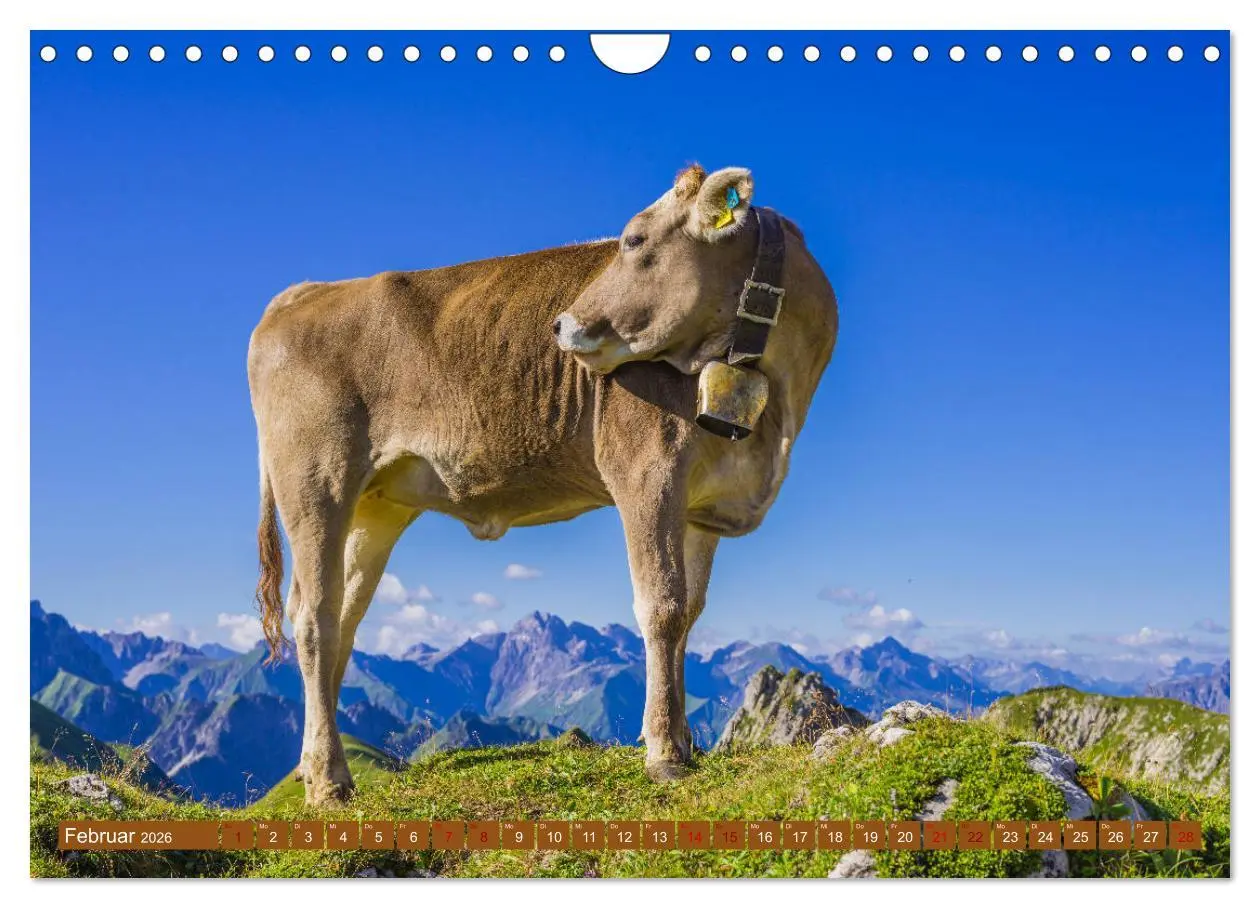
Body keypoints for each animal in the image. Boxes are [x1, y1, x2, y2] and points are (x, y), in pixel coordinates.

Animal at [247, 164, 838, 804]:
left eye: (634, 240)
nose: (560, 323)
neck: (776, 406)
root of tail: (304, 291)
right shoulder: (646, 473)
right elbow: (661, 606)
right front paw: (663, 752)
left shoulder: (703, 507)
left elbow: (690, 613)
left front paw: (684, 741)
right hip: (316, 481)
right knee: (314, 618)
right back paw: (329, 777)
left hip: (374, 506)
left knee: (342, 617)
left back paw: (311, 767)